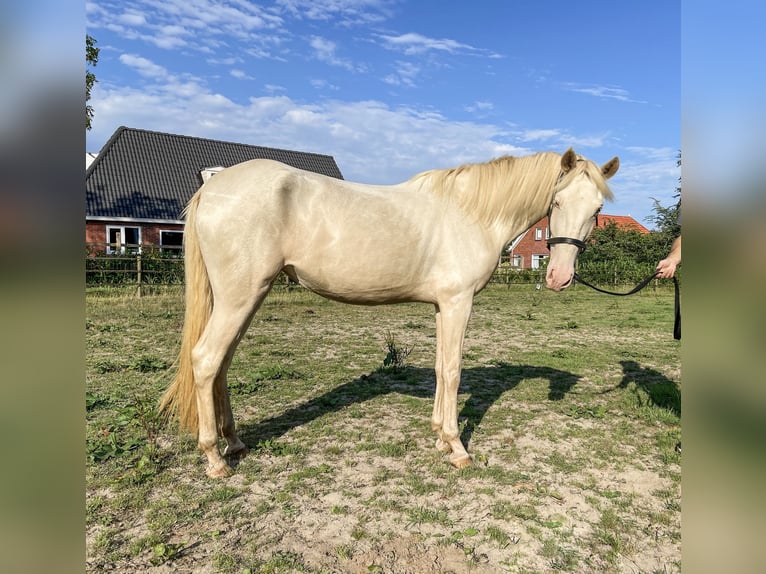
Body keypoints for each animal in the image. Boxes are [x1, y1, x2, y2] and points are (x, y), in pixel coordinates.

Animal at [160, 147, 616, 476]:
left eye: (596, 210)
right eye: (557, 201)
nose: (559, 276)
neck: (470, 212)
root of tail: (213, 186)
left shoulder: (443, 306)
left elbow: (440, 369)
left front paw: (439, 438)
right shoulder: (459, 302)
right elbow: (453, 371)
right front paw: (458, 448)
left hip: (244, 299)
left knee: (221, 363)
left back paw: (235, 443)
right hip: (240, 297)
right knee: (206, 360)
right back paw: (215, 459)